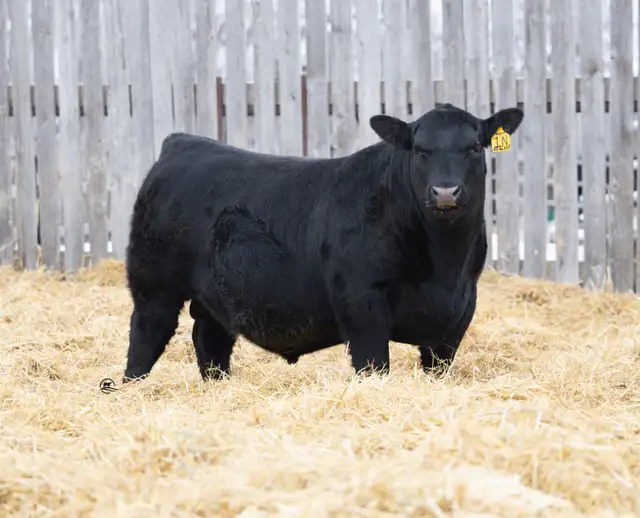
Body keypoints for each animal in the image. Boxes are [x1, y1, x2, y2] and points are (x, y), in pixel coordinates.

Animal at [121, 102, 524, 384]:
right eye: (420, 150)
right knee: (146, 335)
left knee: (209, 338)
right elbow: (374, 365)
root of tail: (182, 142)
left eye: (474, 148)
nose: (445, 192)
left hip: (215, 295)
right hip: (154, 284)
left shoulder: (458, 313)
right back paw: (131, 387)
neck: (444, 264)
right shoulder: (362, 304)